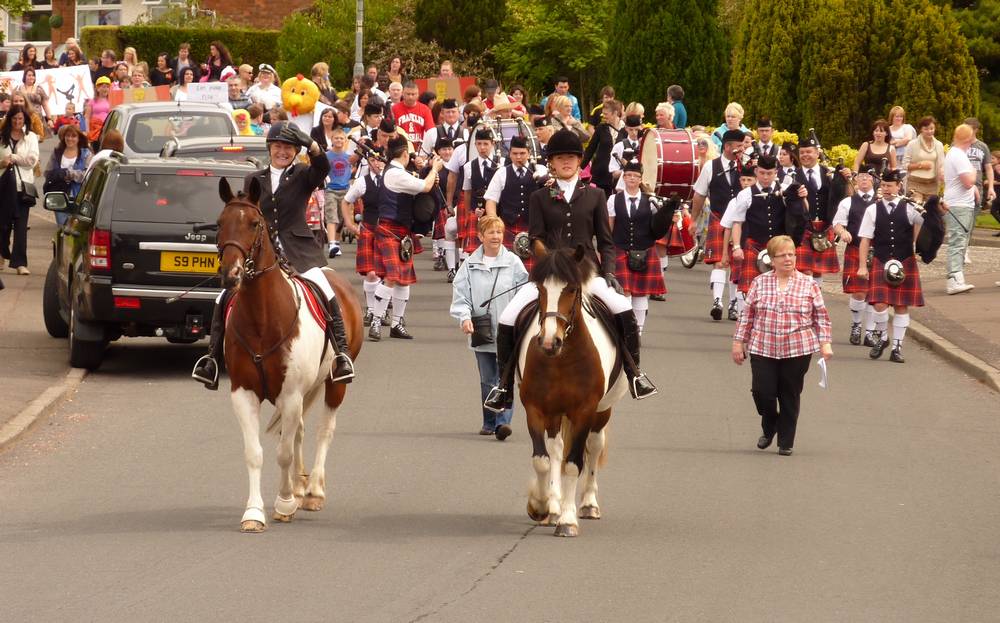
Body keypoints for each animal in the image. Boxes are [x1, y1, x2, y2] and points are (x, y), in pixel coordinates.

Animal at [215, 178, 364, 532]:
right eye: (219, 223)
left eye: (254, 224)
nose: (231, 275)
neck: (262, 317)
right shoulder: (244, 392)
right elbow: (255, 452)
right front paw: (254, 512)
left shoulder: (291, 393)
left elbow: (282, 451)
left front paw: (284, 503)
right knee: (297, 431)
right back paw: (299, 486)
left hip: (335, 384)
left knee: (324, 430)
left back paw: (312, 492)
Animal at [516, 246, 624, 540]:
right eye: (540, 287)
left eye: (572, 289)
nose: (549, 342)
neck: (562, 359)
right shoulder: (536, 408)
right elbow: (542, 460)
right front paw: (541, 505)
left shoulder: (585, 411)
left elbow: (575, 463)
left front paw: (567, 520)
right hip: (555, 414)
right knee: (556, 449)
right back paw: (553, 505)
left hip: (602, 411)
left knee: (594, 447)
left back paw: (588, 504)